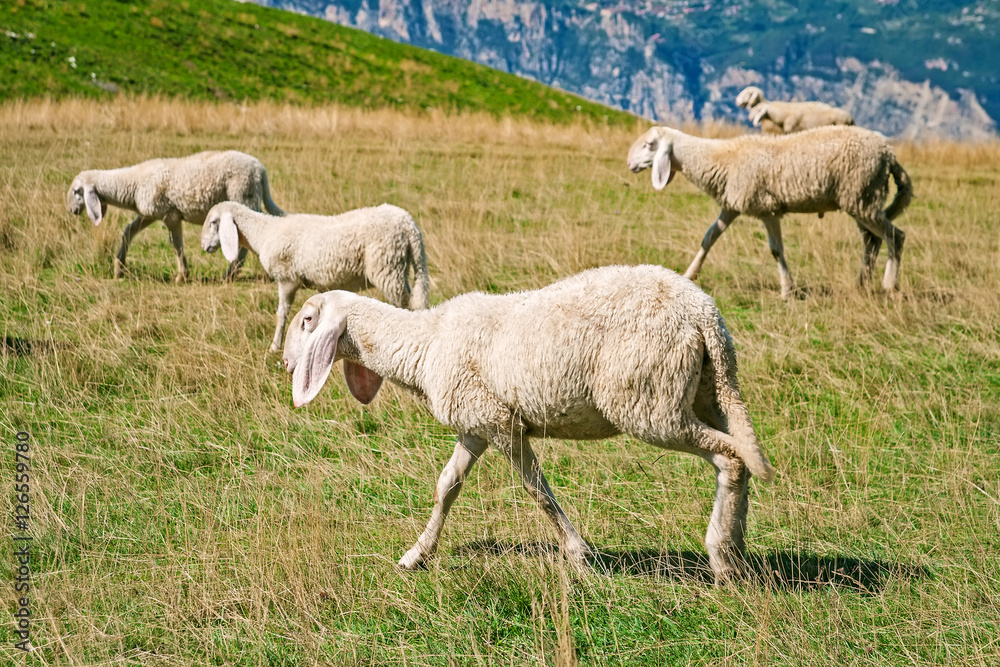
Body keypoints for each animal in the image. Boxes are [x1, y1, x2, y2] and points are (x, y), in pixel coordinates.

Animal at [67, 150, 284, 282]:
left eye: (77, 191)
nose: (70, 210)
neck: (134, 183)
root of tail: (260, 169)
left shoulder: (170, 214)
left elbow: (177, 244)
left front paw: (182, 275)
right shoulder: (151, 213)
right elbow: (128, 231)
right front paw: (119, 268)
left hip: (243, 195)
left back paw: (229, 274)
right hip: (250, 197)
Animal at [202, 201, 430, 352]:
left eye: (213, 222)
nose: (204, 247)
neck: (263, 233)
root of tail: (410, 227)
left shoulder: (287, 279)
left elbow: (282, 314)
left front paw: (275, 346)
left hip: (387, 267)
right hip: (398, 268)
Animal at [282, 265, 776, 583]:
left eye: (306, 320)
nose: (285, 362)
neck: (427, 341)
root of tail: (705, 315)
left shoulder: (503, 424)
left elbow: (537, 491)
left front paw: (579, 557)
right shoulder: (476, 423)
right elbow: (447, 485)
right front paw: (417, 554)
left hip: (651, 403)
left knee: (731, 459)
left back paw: (723, 560)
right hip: (706, 392)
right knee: (740, 456)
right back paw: (737, 550)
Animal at [626, 125, 912, 298]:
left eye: (649, 144)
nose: (629, 164)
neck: (720, 158)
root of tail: (888, 152)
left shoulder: (767, 208)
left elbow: (776, 249)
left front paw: (787, 290)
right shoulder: (731, 205)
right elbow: (709, 238)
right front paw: (689, 274)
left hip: (862, 197)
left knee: (895, 235)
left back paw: (889, 285)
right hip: (862, 199)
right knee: (872, 240)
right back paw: (861, 284)